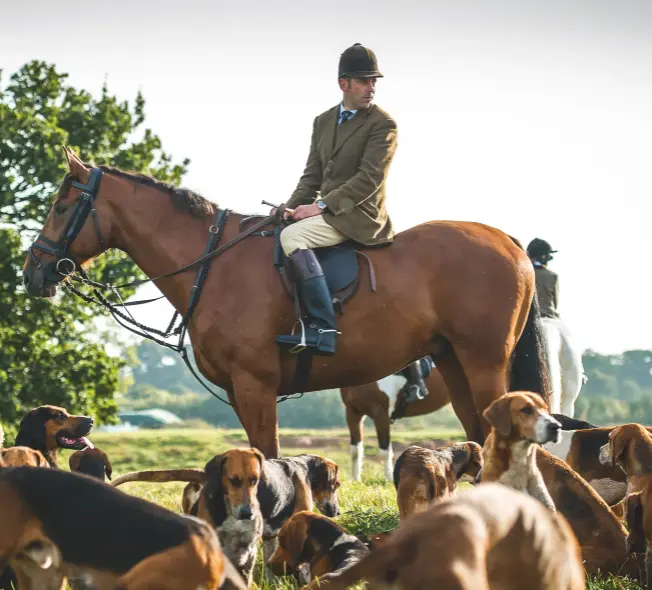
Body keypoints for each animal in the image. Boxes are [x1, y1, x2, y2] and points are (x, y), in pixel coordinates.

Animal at [22, 149, 548, 462]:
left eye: (62, 208)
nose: (32, 273)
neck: (213, 265)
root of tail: (505, 239)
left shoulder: (256, 384)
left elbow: (271, 459)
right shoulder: (238, 390)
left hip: (484, 362)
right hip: (451, 361)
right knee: (477, 433)